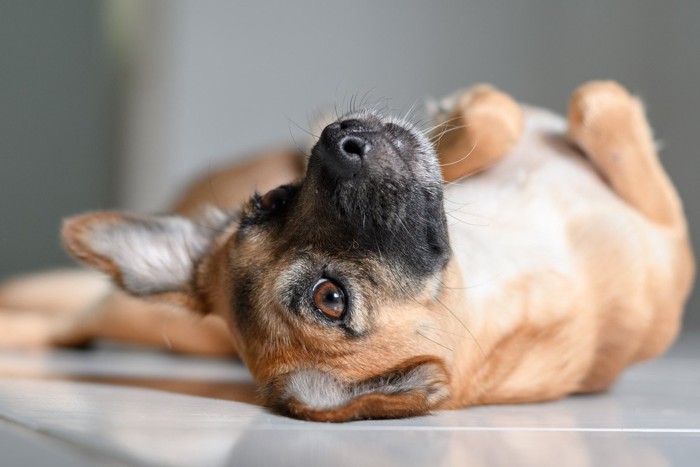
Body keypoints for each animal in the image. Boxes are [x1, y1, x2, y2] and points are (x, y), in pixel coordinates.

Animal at [0, 82, 696, 422]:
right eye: (329, 299)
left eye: (268, 203)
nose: (343, 140)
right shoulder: (672, 228)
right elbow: (600, 106)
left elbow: (500, 120)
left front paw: (467, 117)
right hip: (112, 314)